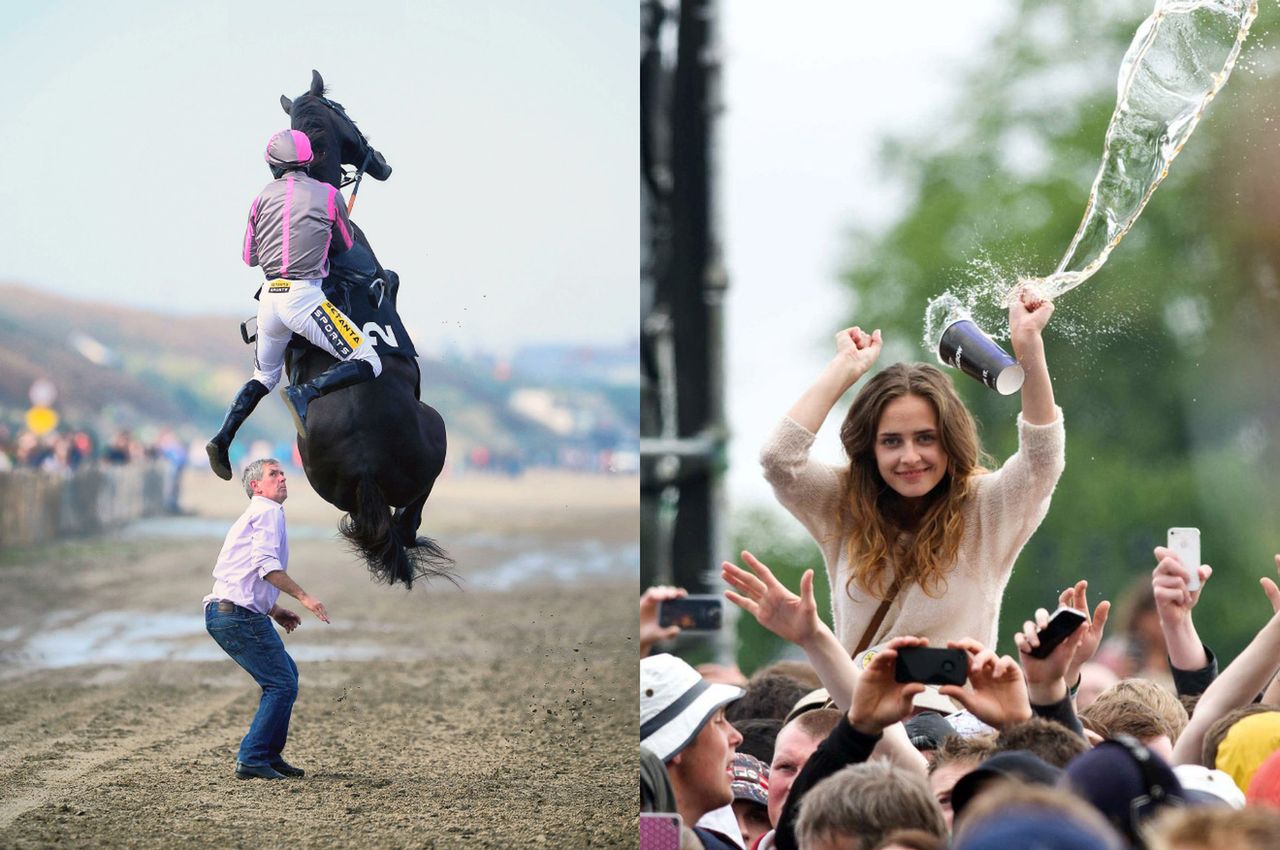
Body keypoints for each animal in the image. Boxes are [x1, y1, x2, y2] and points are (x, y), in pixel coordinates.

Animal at [281, 71, 455, 591]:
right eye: (347, 113)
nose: (381, 163)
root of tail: (364, 469)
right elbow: (392, 279)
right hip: (436, 436)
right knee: (412, 514)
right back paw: (409, 531)